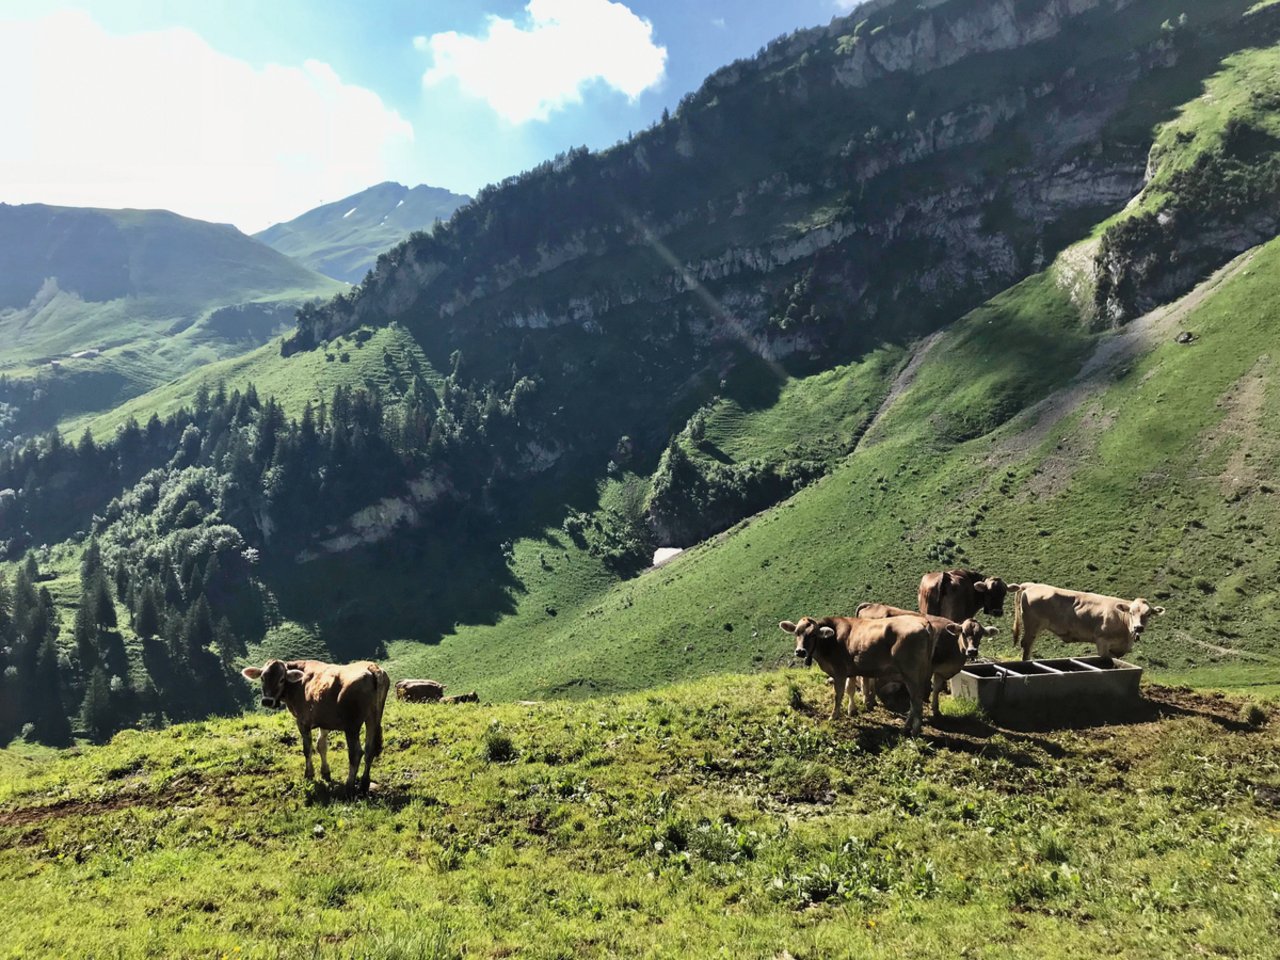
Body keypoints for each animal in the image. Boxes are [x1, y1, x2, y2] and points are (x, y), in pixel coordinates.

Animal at [241, 660, 386, 798]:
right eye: (262, 678)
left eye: (282, 679)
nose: (267, 701)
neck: (297, 685)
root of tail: (372, 667)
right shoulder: (324, 720)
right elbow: (321, 745)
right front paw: (325, 772)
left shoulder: (302, 721)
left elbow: (307, 749)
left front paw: (309, 774)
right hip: (373, 718)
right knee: (370, 750)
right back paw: (364, 784)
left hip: (352, 725)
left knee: (356, 753)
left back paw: (349, 787)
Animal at [773, 616, 947, 737]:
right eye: (797, 632)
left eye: (813, 634)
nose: (800, 651)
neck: (830, 643)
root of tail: (923, 623)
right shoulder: (851, 670)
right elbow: (850, 690)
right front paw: (852, 710)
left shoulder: (839, 672)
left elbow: (838, 694)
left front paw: (834, 716)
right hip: (919, 674)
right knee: (914, 701)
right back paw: (906, 728)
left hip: (911, 673)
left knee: (916, 701)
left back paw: (914, 731)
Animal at [860, 604, 998, 716]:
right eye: (963, 633)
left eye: (980, 635)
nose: (972, 651)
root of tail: (871, 605)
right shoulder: (929, 667)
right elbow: (925, 686)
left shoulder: (941, 670)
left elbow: (936, 688)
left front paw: (936, 709)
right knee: (866, 678)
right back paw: (869, 701)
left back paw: (872, 700)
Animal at [1013, 583, 1167, 665]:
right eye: (1131, 612)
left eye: (1148, 614)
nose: (1138, 627)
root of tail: (1032, 585)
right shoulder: (1102, 641)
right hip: (1033, 626)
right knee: (1027, 645)